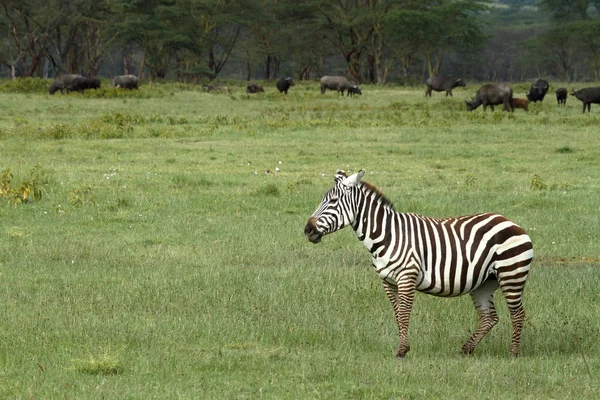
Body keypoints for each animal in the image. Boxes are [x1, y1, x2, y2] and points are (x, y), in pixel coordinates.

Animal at [304, 170, 536, 358]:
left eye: (333, 201)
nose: (307, 230)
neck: (387, 235)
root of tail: (511, 222)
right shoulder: (388, 282)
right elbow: (398, 314)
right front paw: (403, 348)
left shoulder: (407, 277)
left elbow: (404, 314)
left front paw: (401, 351)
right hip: (485, 283)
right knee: (490, 318)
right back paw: (465, 350)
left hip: (511, 274)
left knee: (518, 314)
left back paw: (513, 353)